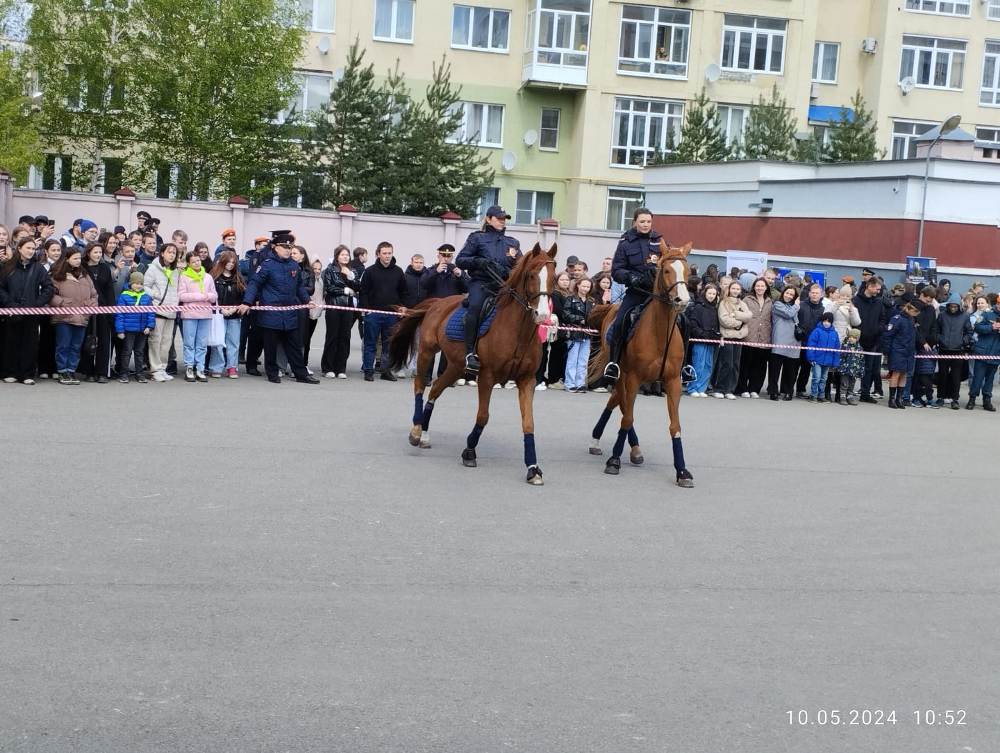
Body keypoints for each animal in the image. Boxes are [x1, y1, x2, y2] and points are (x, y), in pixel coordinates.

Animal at [386, 244, 560, 484]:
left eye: (554, 277)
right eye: (531, 275)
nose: (542, 314)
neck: (518, 332)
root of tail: (438, 302)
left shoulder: (527, 380)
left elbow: (529, 423)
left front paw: (533, 468)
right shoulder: (486, 377)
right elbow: (483, 416)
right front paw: (469, 452)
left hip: (456, 366)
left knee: (436, 389)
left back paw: (425, 433)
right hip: (427, 353)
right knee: (420, 385)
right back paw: (416, 430)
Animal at [584, 241, 696, 488]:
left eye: (687, 271)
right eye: (666, 270)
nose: (682, 301)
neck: (660, 333)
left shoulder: (673, 382)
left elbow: (675, 426)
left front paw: (682, 471)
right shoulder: (634, 378)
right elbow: (627, 418)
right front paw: (614, 461)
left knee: (617, 401)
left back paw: (632, 449)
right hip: (621, 374)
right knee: (622, 404)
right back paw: (600, 441)